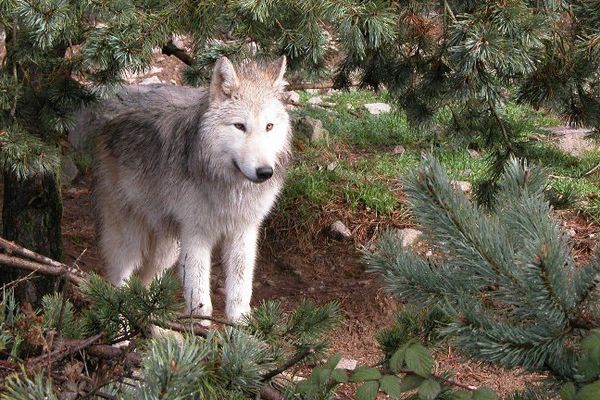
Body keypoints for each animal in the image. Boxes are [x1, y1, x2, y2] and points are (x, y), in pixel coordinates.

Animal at [90, 57, 292, 322]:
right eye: (240, 126)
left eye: (269, 126)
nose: (265, 172)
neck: (230, 188)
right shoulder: (196, 233)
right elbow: (199, 294)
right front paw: (199, 326)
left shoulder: (244, 230)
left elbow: (240, 288)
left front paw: (240, 324)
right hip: (130, 238)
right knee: (118, 283)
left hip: (168, 248)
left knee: (146, 286)